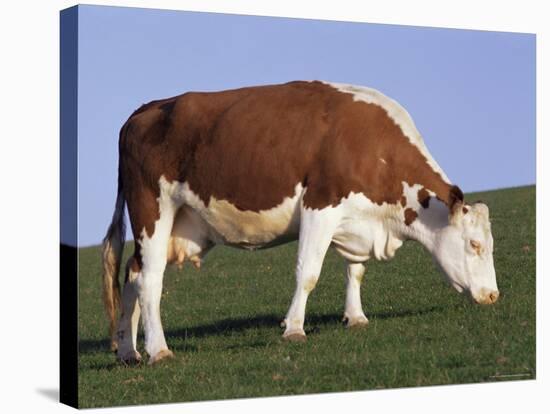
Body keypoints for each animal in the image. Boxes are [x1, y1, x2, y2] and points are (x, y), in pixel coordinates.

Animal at [101, 79, 502, 364]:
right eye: (474, 244)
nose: (493, 295)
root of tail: (145, 109)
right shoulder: (319, 206)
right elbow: (308, 273)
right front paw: (294, 328)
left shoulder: (355, 220)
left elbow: (356, 270)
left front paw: (356, 317)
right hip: (152, 211)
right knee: (150, 280)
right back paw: (158, 350)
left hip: (180, 226)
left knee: (133, 274)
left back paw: (128, 351)